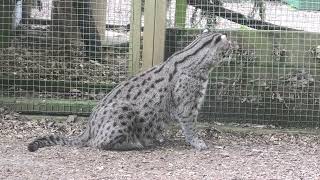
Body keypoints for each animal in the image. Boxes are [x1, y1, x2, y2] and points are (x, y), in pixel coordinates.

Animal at [28, 31, 230, 151]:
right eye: (230, 45)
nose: (234, 49)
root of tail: (88, 127)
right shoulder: (188, 107)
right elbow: (190, 128)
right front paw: (197, 142)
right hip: (124, 110)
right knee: (98, 144)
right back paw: (133, 143)